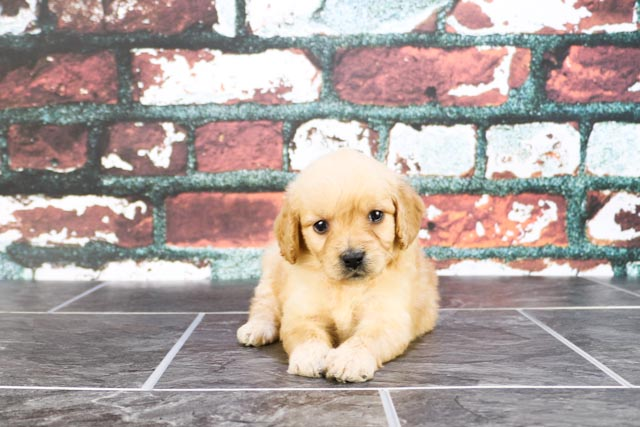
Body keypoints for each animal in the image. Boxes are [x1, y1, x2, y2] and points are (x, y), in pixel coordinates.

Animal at [236, 149, 440, 382]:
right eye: (320, 226)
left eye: (376, 215)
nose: (353, 258)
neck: (347, 287)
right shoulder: (303, 312)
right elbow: (306, 333)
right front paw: (310, 355)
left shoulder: (385, 317)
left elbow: (366, 338)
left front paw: (349, 360)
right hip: (272, 272)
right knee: (264, 304)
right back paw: (256, 328)